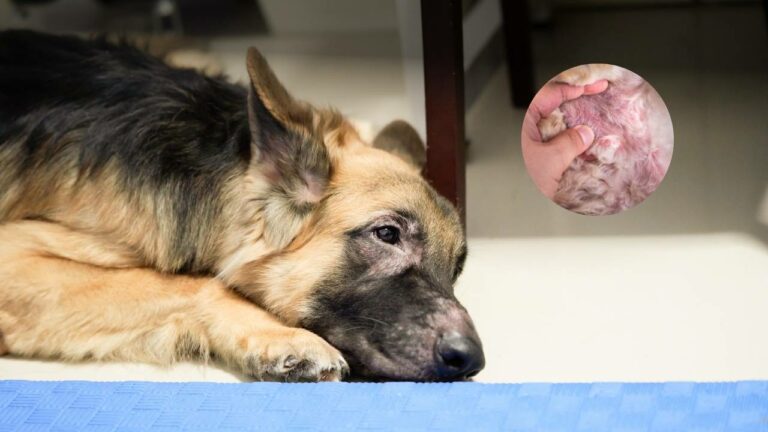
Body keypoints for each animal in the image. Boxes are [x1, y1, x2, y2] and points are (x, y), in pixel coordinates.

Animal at [0, 30, 484, 382]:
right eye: (387, 234)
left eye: (457, 267)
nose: (472, 360)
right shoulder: (16, 256)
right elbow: (187, 283)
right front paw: (280, 335)